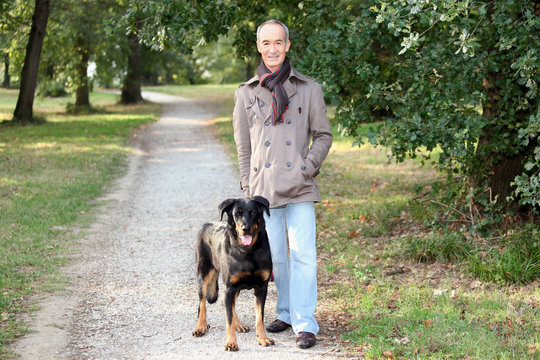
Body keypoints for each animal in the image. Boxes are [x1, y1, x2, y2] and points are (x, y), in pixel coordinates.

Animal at [193, 197, 276, 352]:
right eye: (237, 214)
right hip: (204, 274)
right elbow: (228, 319)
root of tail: (207, 224)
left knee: (230, 306)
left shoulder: (261, 288)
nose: (245, 229)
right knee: (202, 303)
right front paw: (231, 343)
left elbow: (259, 318)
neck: (248, 251)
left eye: (253, 212)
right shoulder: (229, 287)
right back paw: (200, 326)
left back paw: (239, 324)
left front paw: (263, 338)